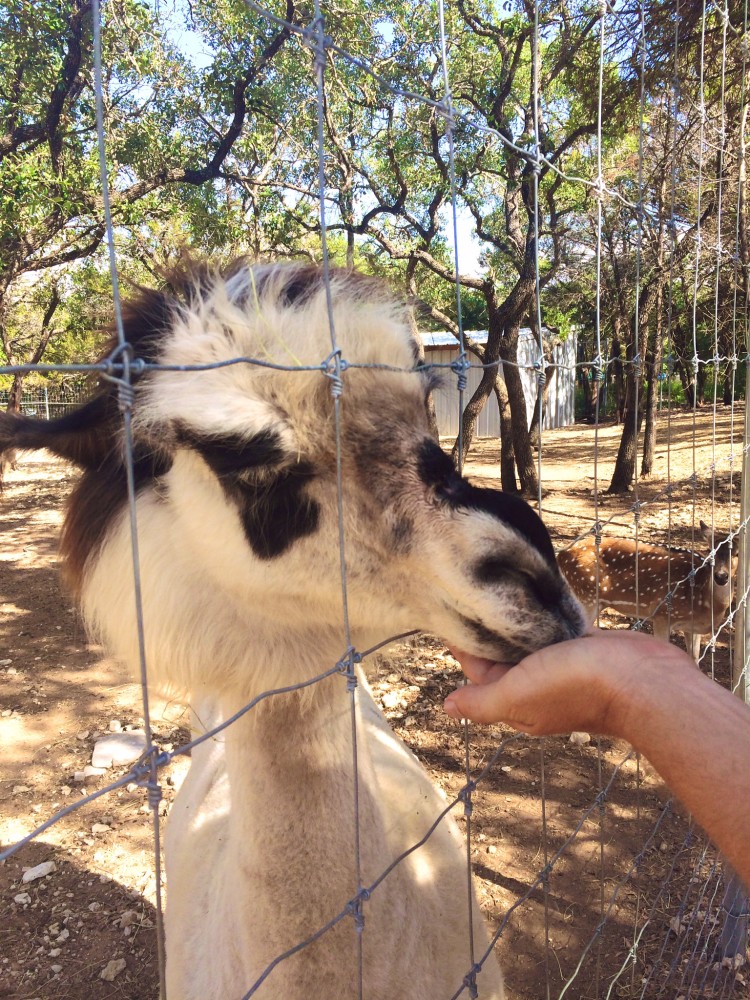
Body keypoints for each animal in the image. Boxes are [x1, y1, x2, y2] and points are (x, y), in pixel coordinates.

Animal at [560, 520, 740, 660]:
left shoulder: (692, 628)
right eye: (710, 552)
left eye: (737, 553)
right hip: (585, 598)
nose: (721, 576)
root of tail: (560, 555)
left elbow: (694, 658)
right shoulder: (662, 614)